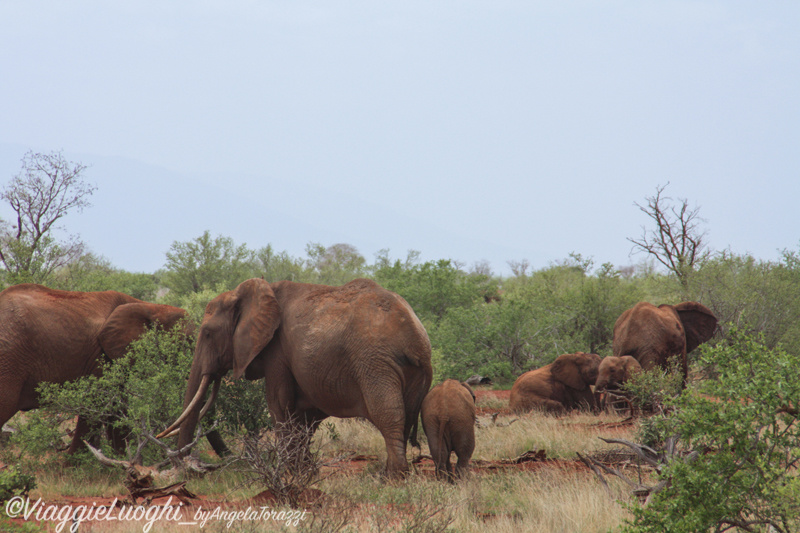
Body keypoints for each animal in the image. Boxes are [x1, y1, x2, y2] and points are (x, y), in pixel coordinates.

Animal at [0, 282, 212, 454]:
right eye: (187, 342)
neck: (147, 305)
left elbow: (113, 405)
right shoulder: (100, 356)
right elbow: (102, 403)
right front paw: (75, 465)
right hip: (9, 358)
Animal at [161, 276, 432, 476]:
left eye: (207, 333)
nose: (188, 471)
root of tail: (414, 334)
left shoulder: (277, 350)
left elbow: (278, 403)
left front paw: (289, 474)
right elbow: (305, 414)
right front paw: (306, 473)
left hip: (374, 362)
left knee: (389, 414)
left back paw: (392, 478)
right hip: (412, 370)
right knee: (407, 416)